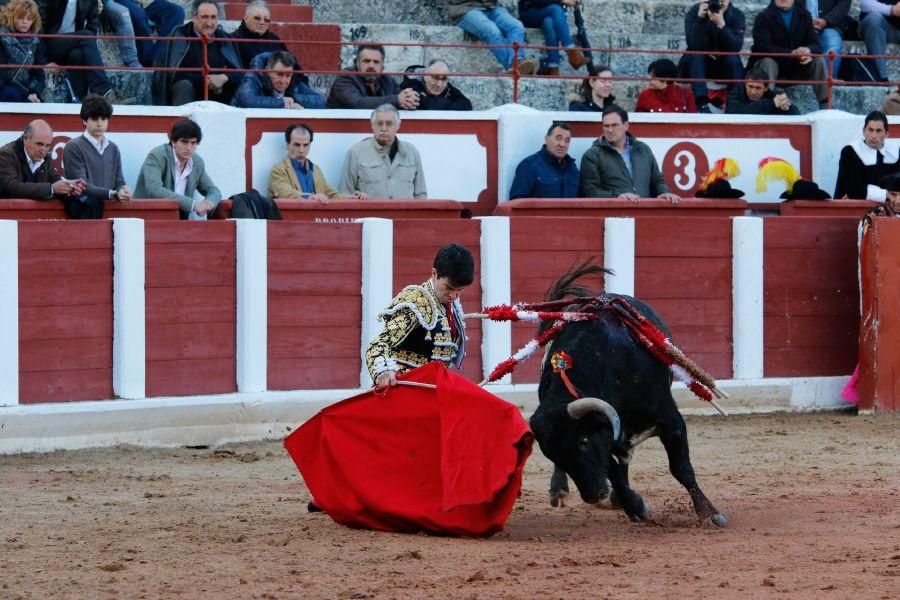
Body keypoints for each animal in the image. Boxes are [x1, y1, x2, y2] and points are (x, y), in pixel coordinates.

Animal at [528, 264, 732, 528]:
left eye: (583, 442)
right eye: (552, 453)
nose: (593, 495)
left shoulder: (671, 420)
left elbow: (681, 467)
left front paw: (709, 513)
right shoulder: (609, 435)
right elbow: (614, 470)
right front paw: (635, 506)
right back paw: (563, 491)